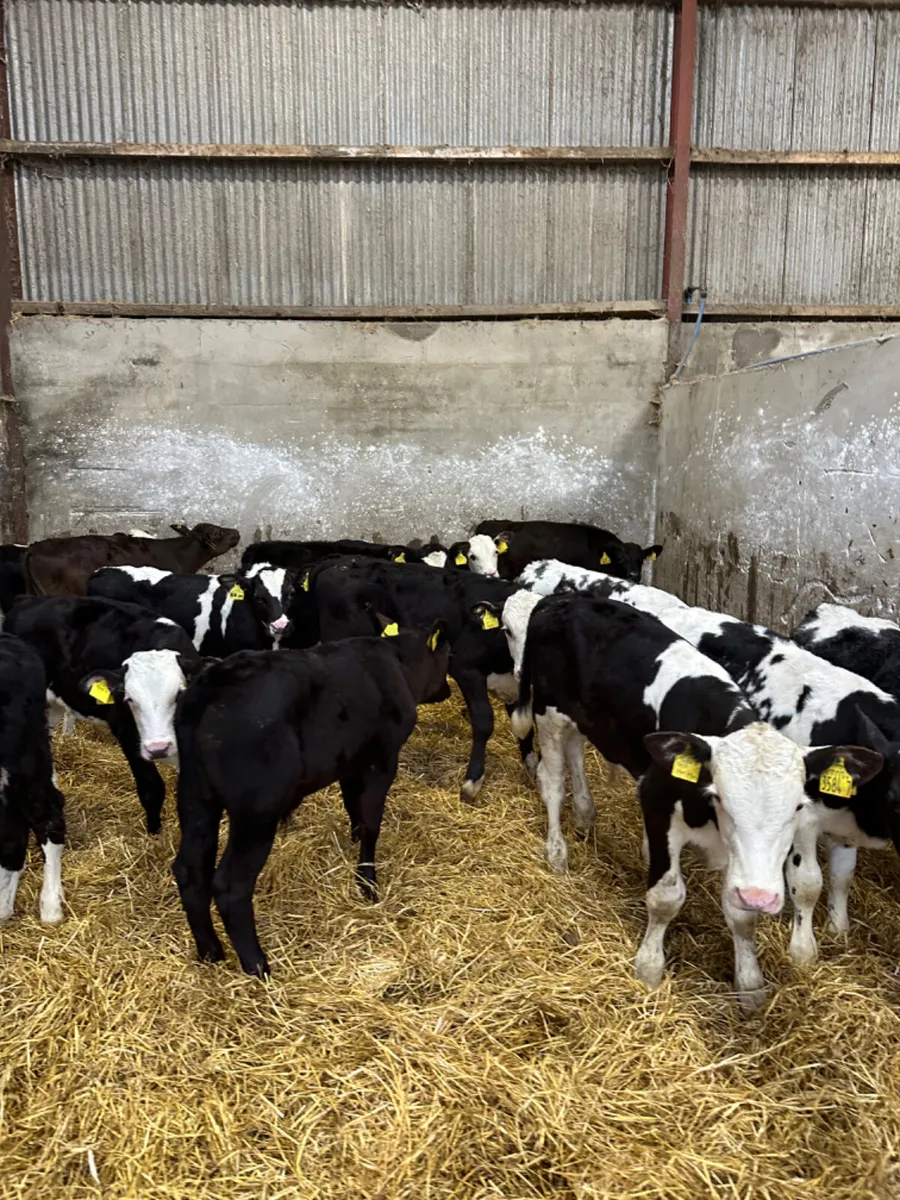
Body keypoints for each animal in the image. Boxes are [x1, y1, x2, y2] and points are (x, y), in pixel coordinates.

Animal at [5, 596, 209, 834]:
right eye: (129, 699)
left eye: (179, 693)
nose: (158, 748)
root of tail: (26, 600)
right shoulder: (126, 732)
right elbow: (152, 788)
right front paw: (154, 834)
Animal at [173, 619, 450, 975]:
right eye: (447, 657)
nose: (447, 691)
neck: (398, 663)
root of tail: (213, 682)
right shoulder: (383, 759)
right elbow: (372, 821)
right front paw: (367, 883)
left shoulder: (349, 761)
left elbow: (353, 804)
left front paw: (353, 839)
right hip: (256, 812)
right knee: (230, 884)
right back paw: (257, 965)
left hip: (195, 797)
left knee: (190, 870)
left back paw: (210, 950)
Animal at [288, 557, 533, 798]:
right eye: (508, 629)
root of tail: (338, 561)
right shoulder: (467, 670)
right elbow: (484, 721)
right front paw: (473, 780)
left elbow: (523, 725)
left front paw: (531, 766)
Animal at [500, 590, 880, 1007]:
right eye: (721, 798)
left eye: (797, 807)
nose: (760, 896)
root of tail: (563, 597)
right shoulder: (656, 805)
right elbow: (665, 896)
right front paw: (649, 969)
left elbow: (741, 917)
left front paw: (750, 985)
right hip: (548, 712)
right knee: (552, 781)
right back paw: (557, 852)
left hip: (585, 720)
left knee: (575, 754)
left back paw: (585, 816)